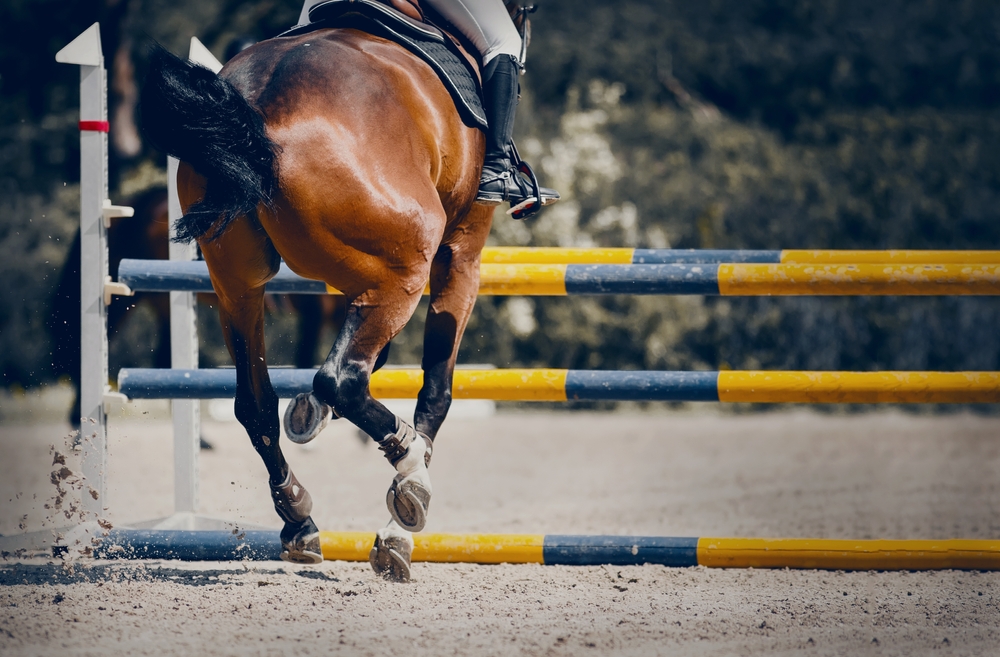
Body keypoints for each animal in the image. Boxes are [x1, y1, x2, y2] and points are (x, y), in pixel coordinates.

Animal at [140, 18, 498, 581]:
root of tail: (258, 112)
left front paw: (309, 416)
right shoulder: (461, 254)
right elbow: (435, 391)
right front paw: (397, 531)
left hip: (237, 285)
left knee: (256, 402)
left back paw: (298, 516)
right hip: (407, 267)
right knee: (341, 378)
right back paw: (410, 476)